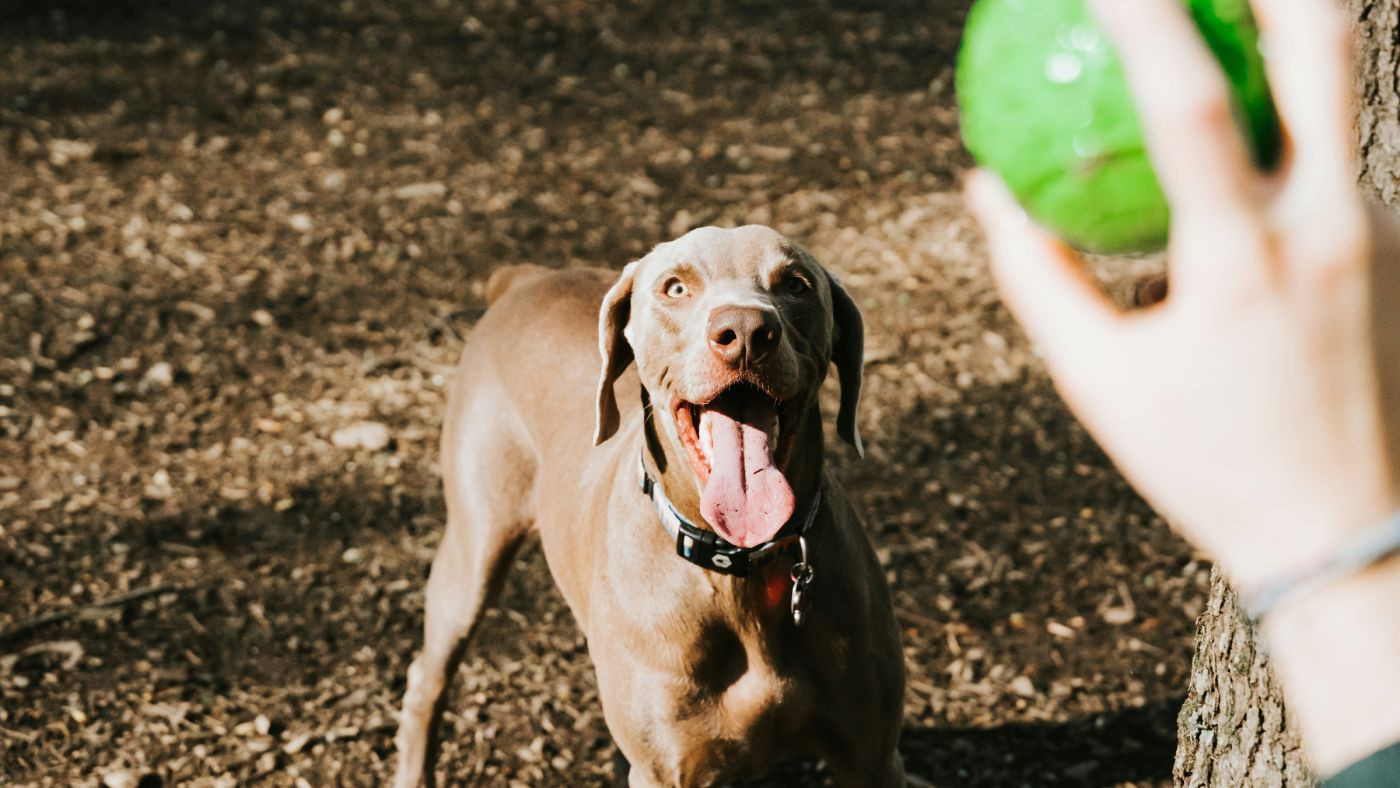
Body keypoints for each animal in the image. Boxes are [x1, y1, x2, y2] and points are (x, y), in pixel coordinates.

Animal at [392, 225, 907, 783]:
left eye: (796, 284)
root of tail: (525, 280)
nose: (746, 331)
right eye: (675, 287)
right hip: (474, 548)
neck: (739, 567)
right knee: (426, 675)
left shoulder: (874, 758)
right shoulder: (664, 769)